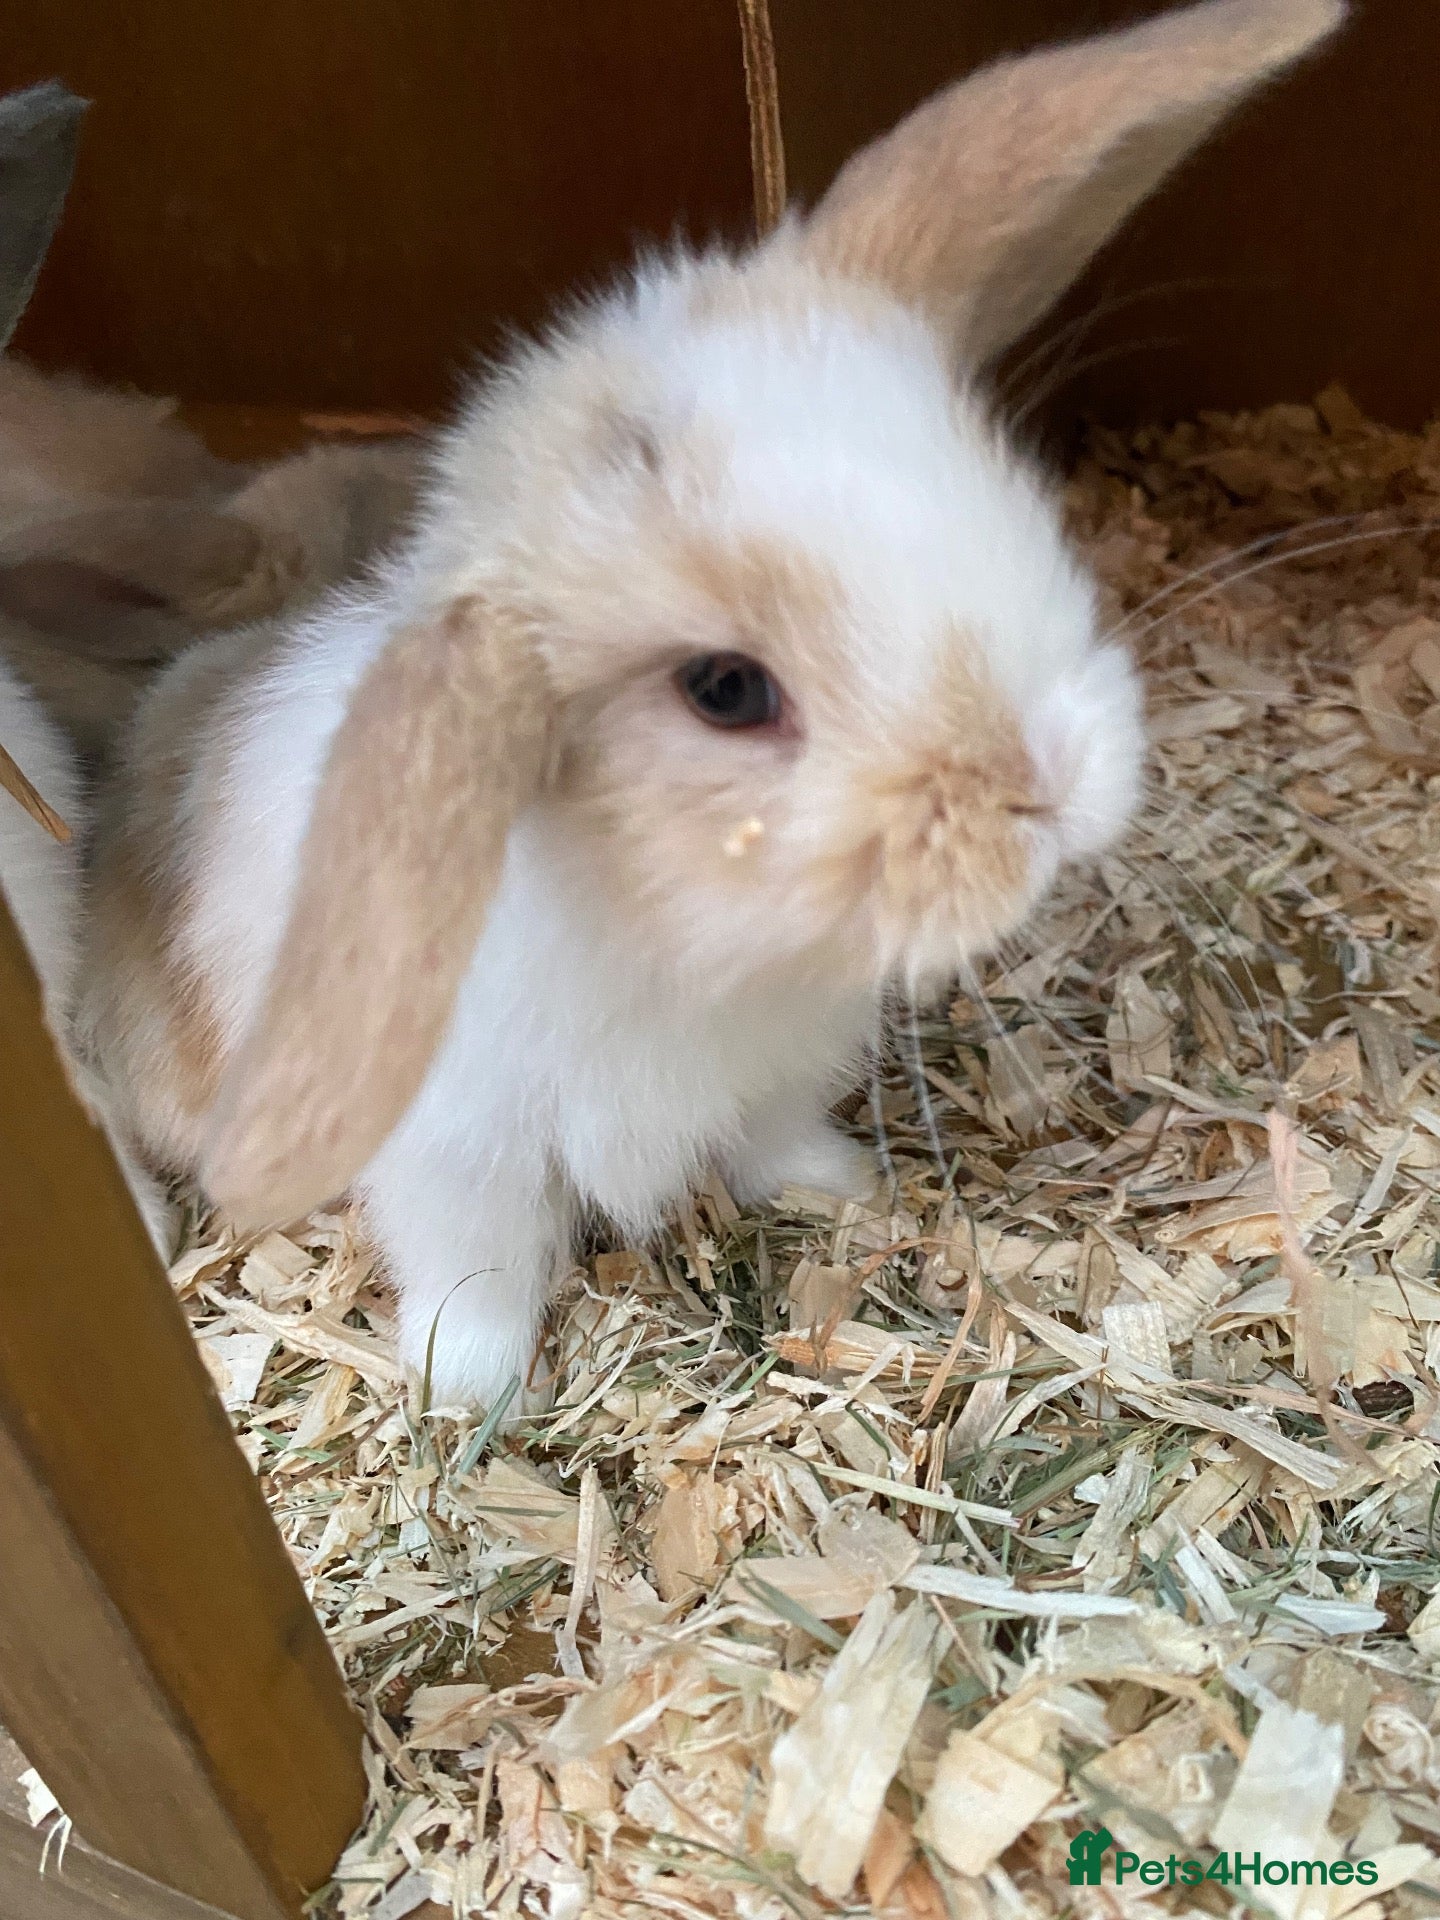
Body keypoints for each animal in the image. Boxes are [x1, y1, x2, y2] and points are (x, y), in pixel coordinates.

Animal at [74, 0, 1344, 1408]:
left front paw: (850, 1190)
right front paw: (465, 1392)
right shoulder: (456, 1154)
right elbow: (479, 1268)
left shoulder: (780, 1072)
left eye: (987, 486)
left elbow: (775, 1140)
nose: (1054, 787)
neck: (690, 936)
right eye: (725, 691)